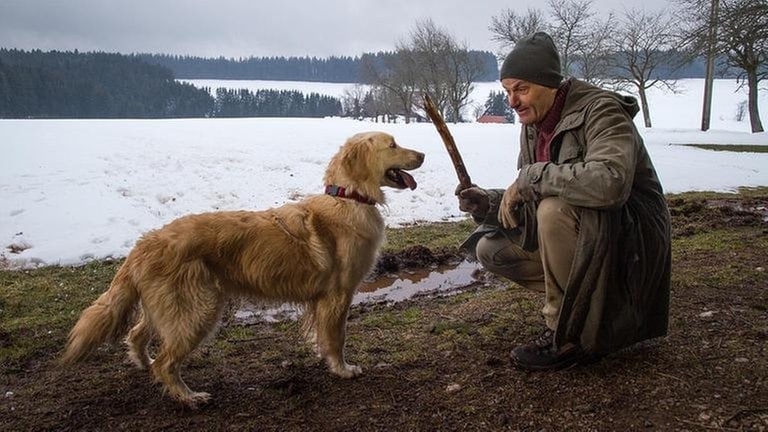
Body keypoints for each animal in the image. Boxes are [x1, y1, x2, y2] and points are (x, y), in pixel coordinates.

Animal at [60, 130, 426, 406]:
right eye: (392, 144)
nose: (424, 154)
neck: (348, 196)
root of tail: (144, 243)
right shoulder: (337, 295)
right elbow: (337, 338)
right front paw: (343, 369)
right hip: (198, 309)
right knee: (166, 361)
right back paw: (188, 397)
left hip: (168, 306)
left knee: (137, 337)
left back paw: (146, 366)